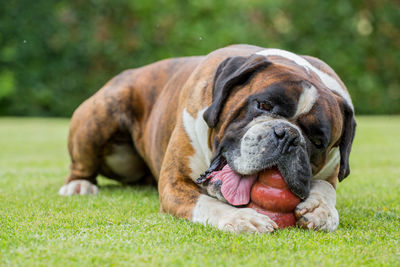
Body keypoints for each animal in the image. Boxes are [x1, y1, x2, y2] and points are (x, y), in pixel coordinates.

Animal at [58, 45, 356, 233]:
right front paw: (240, 219)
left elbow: (326, 186)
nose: (287, 136)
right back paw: (79, 186)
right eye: (263, 105)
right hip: (102, 112)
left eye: (317, 141)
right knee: (80, 165)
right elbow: (207, 203)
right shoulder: (175, 183)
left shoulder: (331, 171)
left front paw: (321, 210)